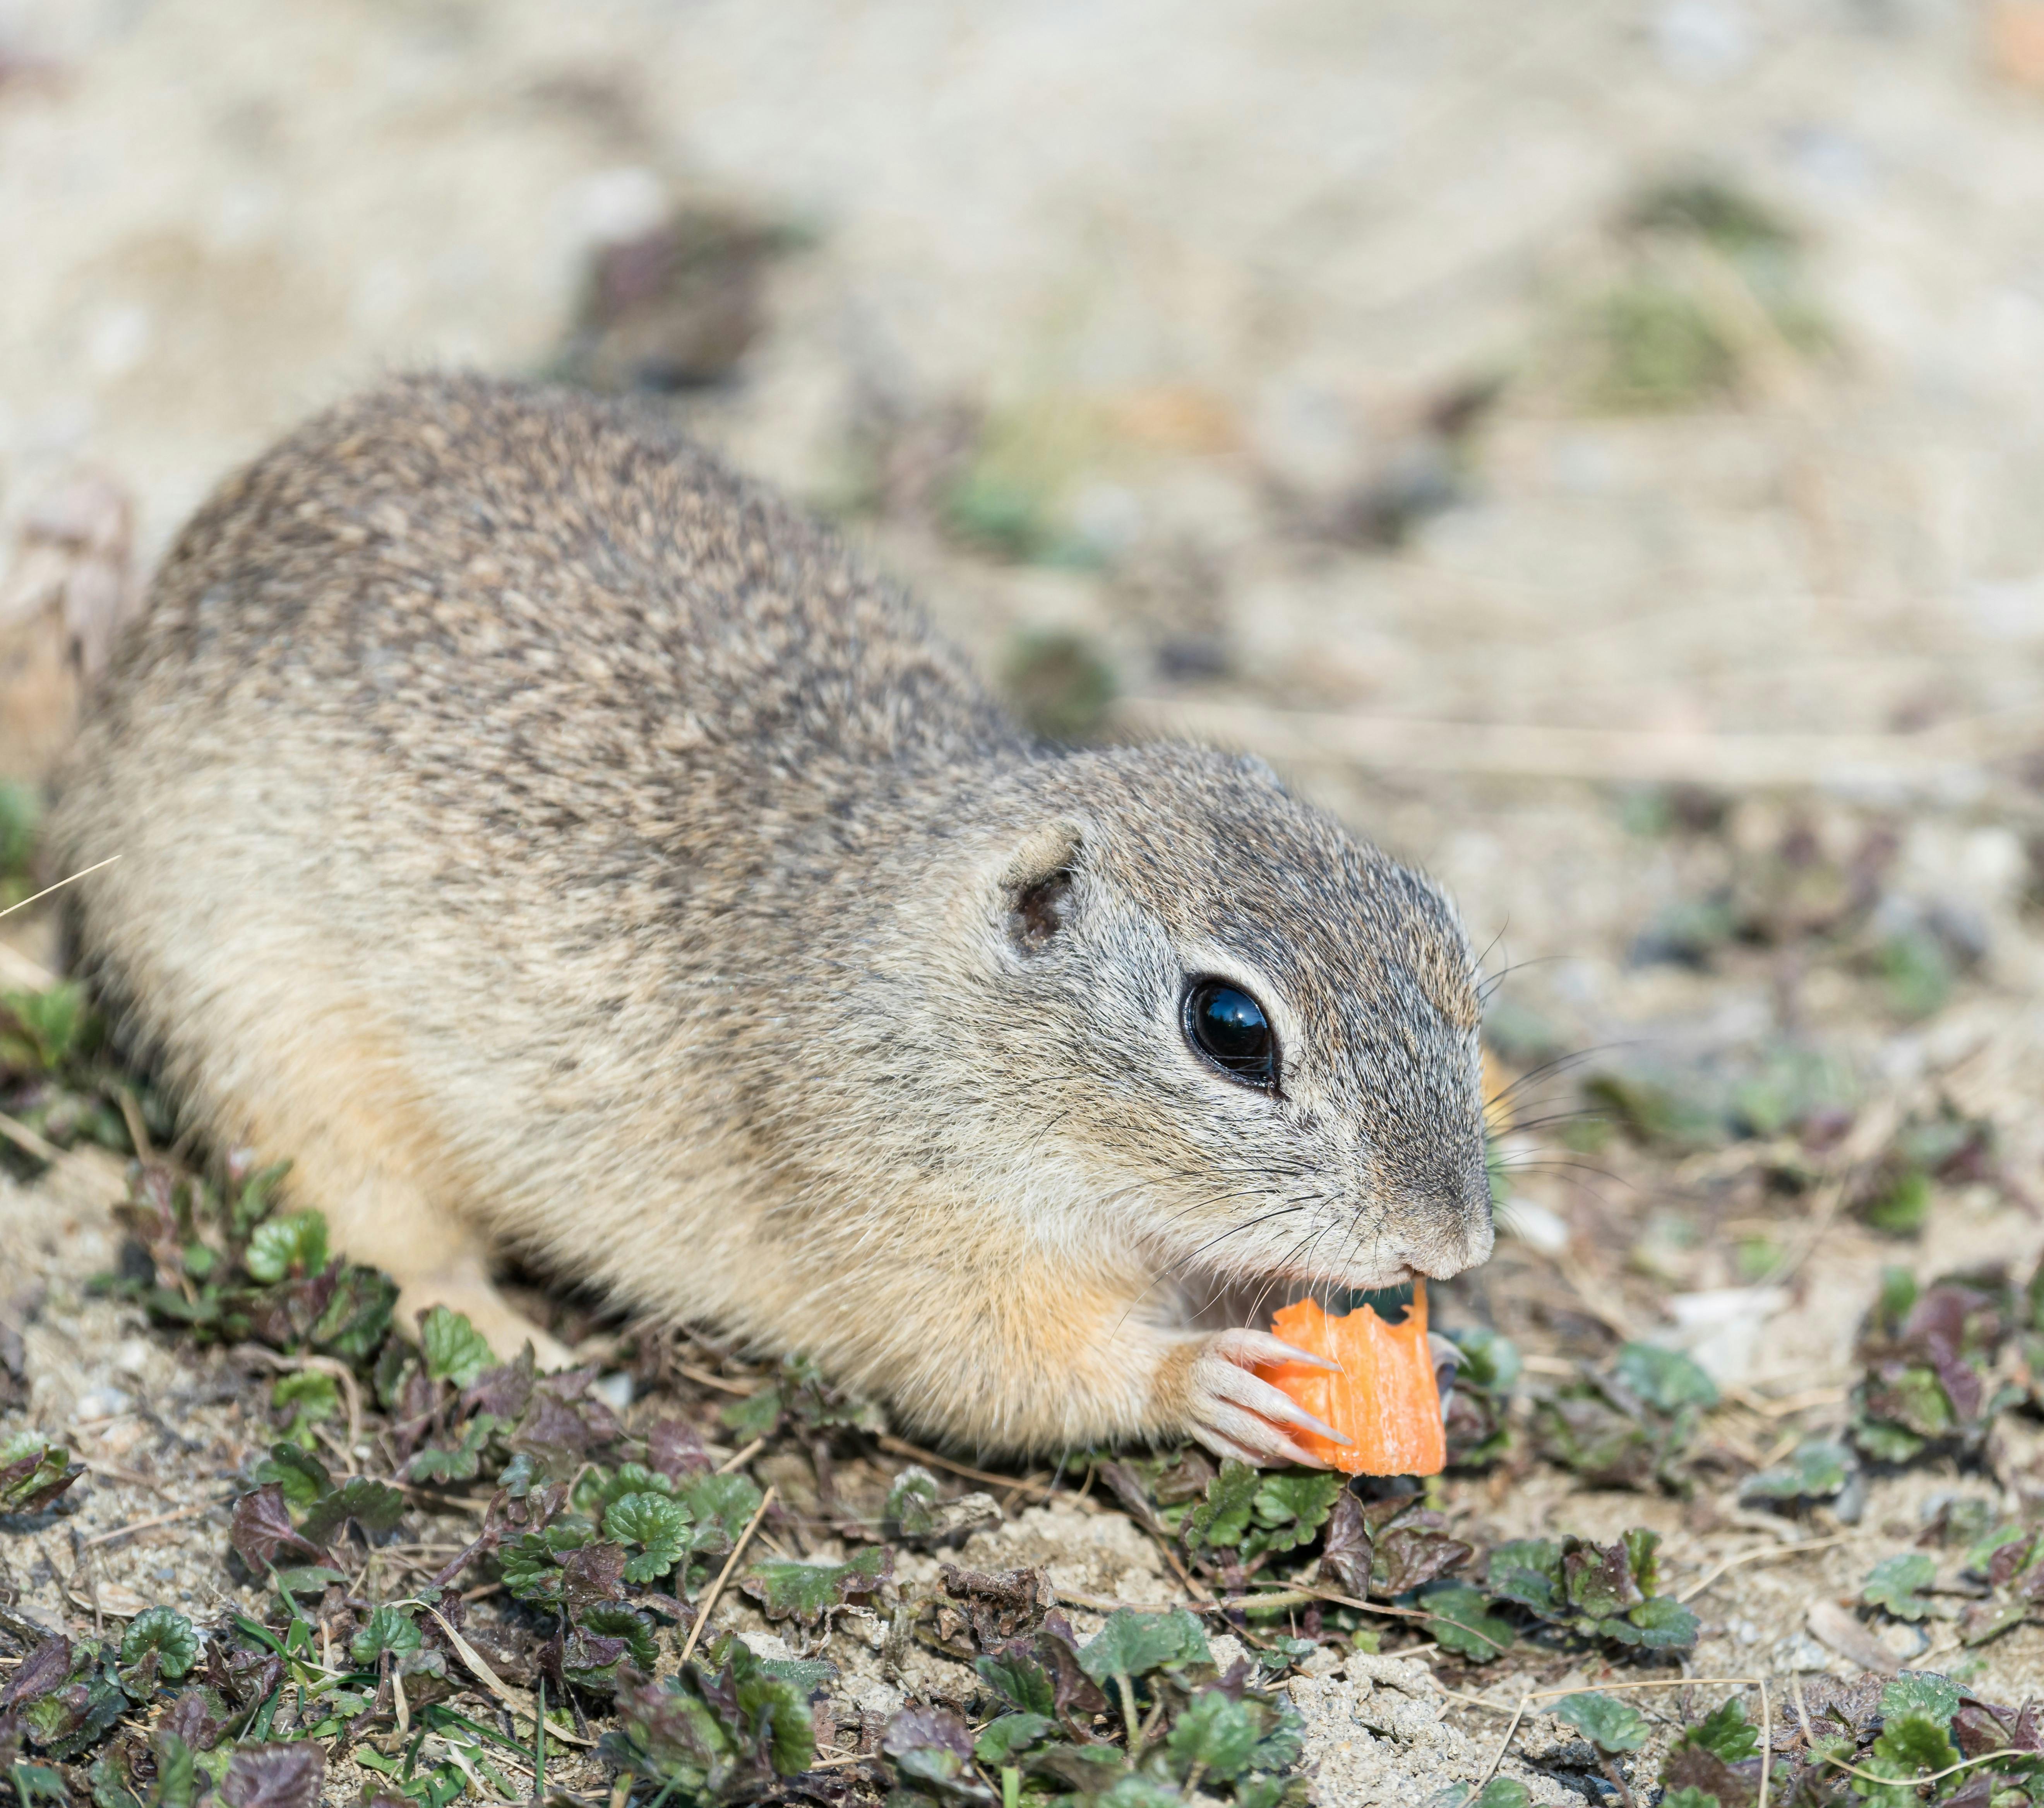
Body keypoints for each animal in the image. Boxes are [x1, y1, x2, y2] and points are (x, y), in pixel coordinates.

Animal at [48, 378, 1488, 1471]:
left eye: (1446, 941)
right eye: (1229, 1026)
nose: (1455, 1244)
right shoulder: (913, 1224)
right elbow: (998, 1371)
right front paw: (1208, 1377)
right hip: (281, 1057)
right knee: (378, 1235)